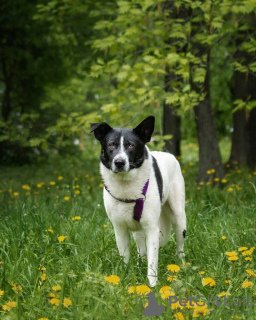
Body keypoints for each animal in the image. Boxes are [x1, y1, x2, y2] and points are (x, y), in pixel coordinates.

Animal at [90, 116, 186, 286]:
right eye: (111, 145)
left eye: (130, 145)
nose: (119, 162)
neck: (127, 187)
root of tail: (169, 154)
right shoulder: (119, 229)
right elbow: (125, 257)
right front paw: (125, 277)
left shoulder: (152, 229)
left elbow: (153, 262)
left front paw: (152, 285)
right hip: (138, 229)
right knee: (141, 248)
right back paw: (141, 263)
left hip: (178, 216)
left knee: (180, 242)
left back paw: (180, 263)